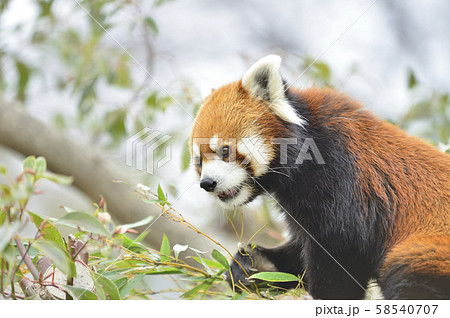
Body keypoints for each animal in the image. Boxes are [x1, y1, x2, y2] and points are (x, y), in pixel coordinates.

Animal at [188, 55, 448, 300]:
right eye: (199, 161)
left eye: (225, 151)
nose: (207, 183)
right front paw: (253, 264)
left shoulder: (341, 179)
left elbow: (341, 253)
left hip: (425, 249)